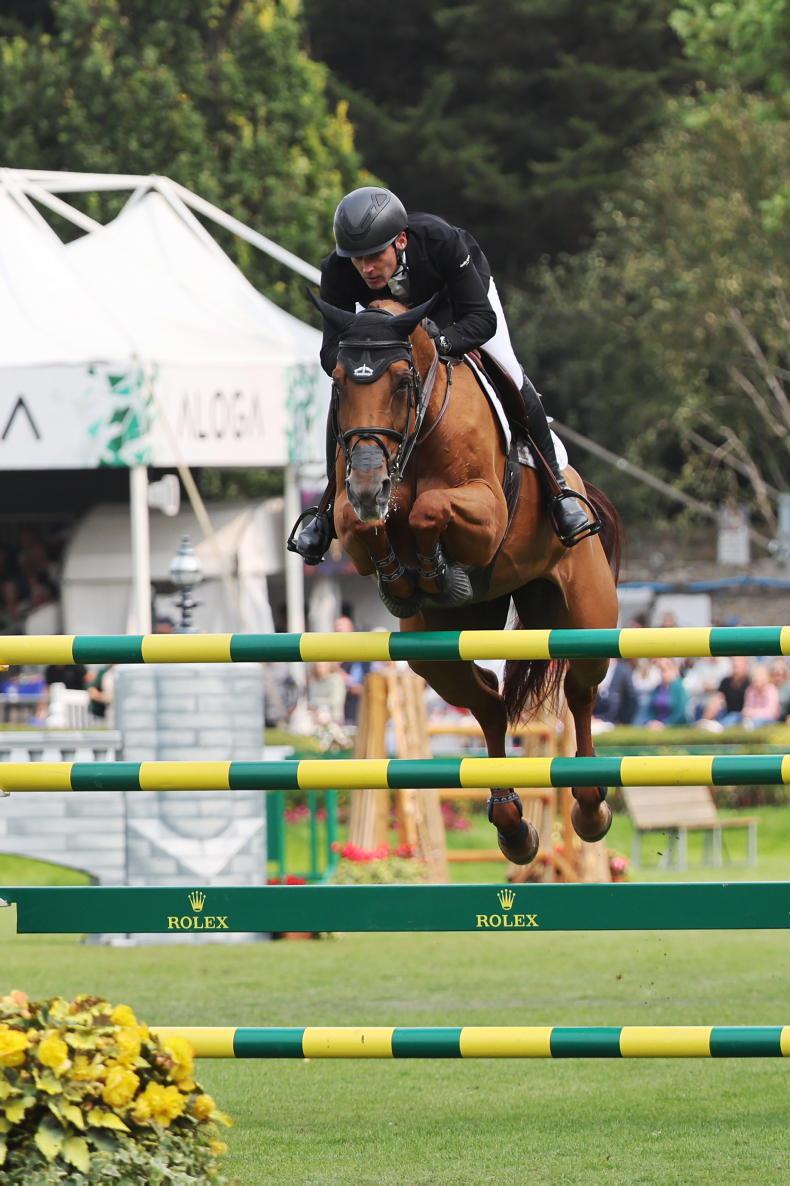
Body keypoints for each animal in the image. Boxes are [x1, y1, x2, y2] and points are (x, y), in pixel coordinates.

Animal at [312, 293, 622, 865]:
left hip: (587, 618)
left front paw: (431, 567)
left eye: (402, 383)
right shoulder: (350, 514)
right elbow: (365, 525)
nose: (368, 484)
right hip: (436, 652)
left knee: (580, 690)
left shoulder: (485, 511)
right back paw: (512, 825)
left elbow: (428, 509)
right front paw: (401, 577)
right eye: (340, 383)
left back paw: (591, 806)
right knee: (489, 702)